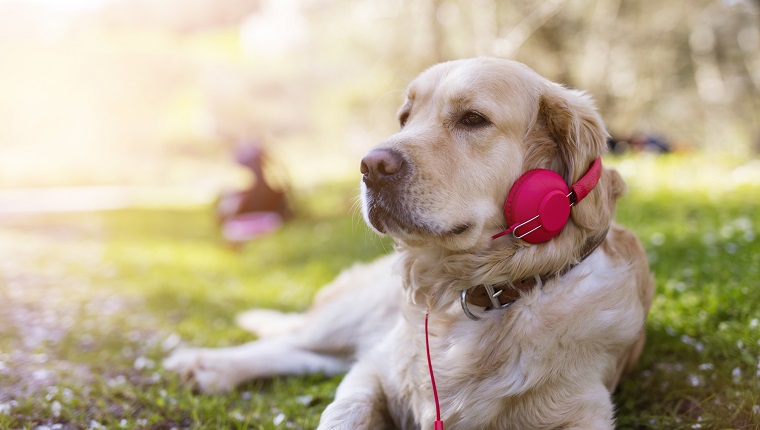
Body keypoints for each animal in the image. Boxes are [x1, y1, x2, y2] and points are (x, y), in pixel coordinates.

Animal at [166, 58, 652, 430]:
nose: (370, 165)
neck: (482, 294)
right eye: (405, 118)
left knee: (306, 353)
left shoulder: (581, 412)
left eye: (473, 119)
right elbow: (344, 411)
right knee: (292, 339)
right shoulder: (376, 369)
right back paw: (203, 363)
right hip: (357, 315)